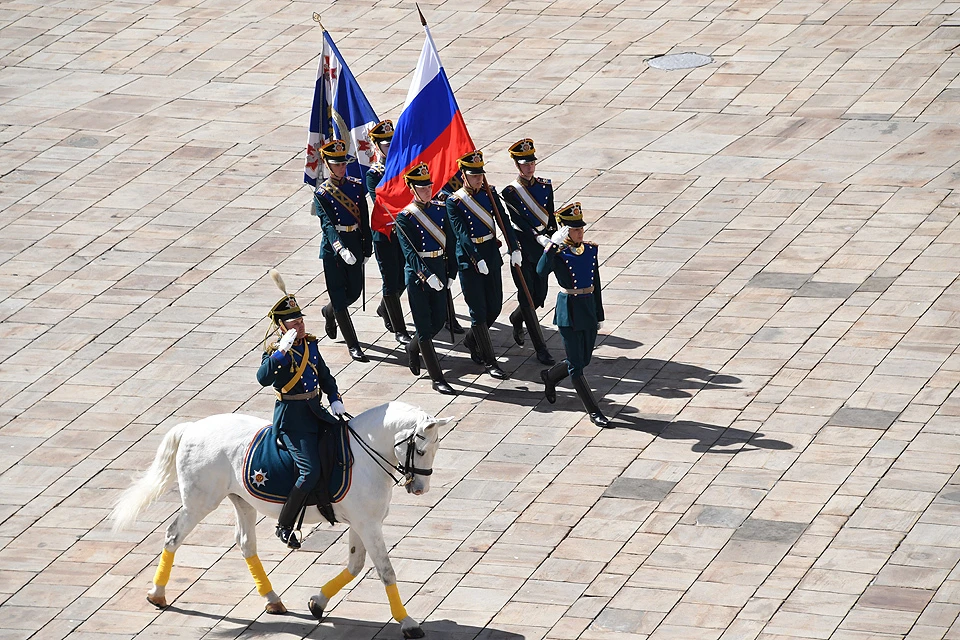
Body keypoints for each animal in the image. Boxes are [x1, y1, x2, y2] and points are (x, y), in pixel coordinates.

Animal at [112, 402, 454, 636]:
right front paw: (408, 622)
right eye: (420, 449)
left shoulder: (363, 523)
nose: (420, 488)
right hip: (199, 502)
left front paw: (318, 601)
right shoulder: (368, 525)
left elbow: (355, 566)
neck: (363, 455)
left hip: (242, 501)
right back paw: (157, 594)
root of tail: (192, 428)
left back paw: (273, 599)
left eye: (438, 447)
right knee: (173, 535)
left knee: (246, 544)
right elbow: (386, 571)